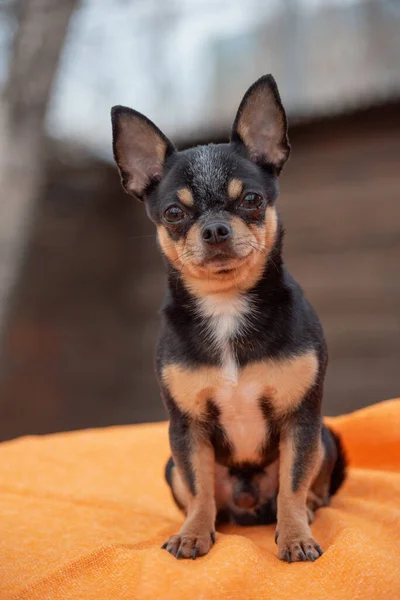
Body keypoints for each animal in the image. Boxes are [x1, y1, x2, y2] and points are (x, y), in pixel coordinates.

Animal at [111, 74, 346, 564]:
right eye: (174, 213)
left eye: (252, 200)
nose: (216, 229)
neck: (226, 306)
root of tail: (248, 502)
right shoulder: (187, 429)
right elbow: (199, 487)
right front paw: (193, 534)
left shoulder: (301, 420)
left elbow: (293, 484)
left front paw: (295, 536)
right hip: (171, 460)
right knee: (206, 494)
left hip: (324, 435)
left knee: (309, 485)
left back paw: (310, 509)